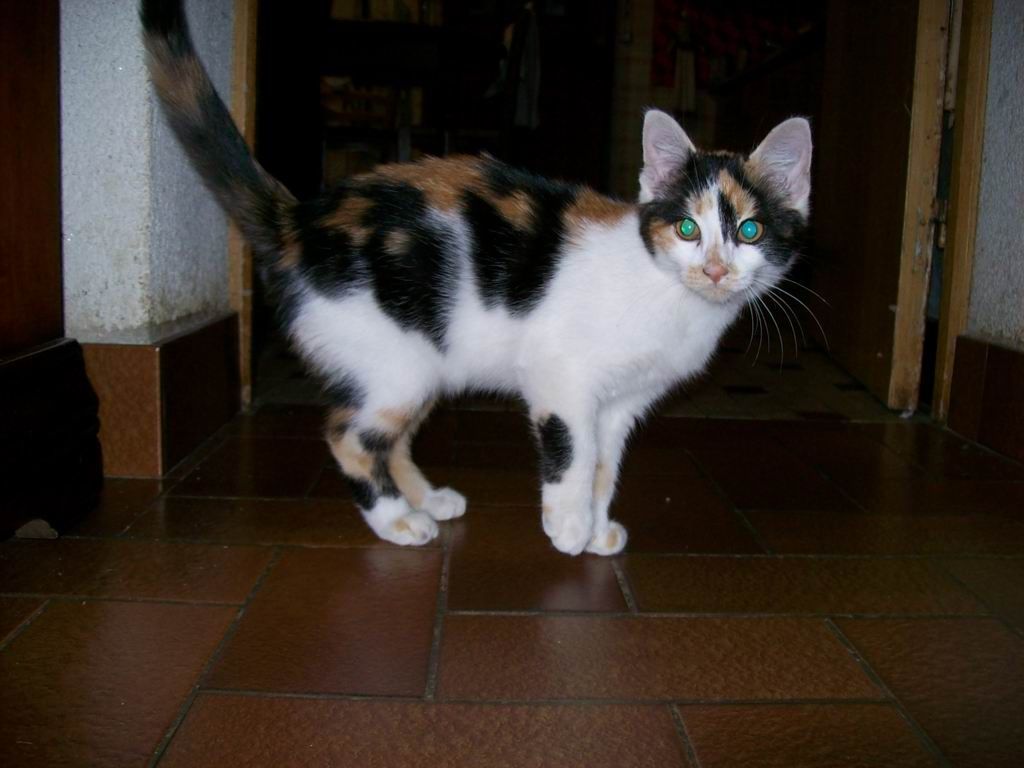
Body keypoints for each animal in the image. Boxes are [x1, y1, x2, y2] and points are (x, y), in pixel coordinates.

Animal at [141, 0, 811, 555]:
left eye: (750, 231)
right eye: (688, 229)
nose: (716, 269)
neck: (665, 290)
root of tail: (299, 220)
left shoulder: (622, 405)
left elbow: (604, 464)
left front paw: (596, 527)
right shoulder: (560, 376)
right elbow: (575, 452)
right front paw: (569, 527)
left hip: (421, 362)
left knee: (390, 437)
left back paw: (427, 499)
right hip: (391, 360)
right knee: (347, 435)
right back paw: (396, 520)